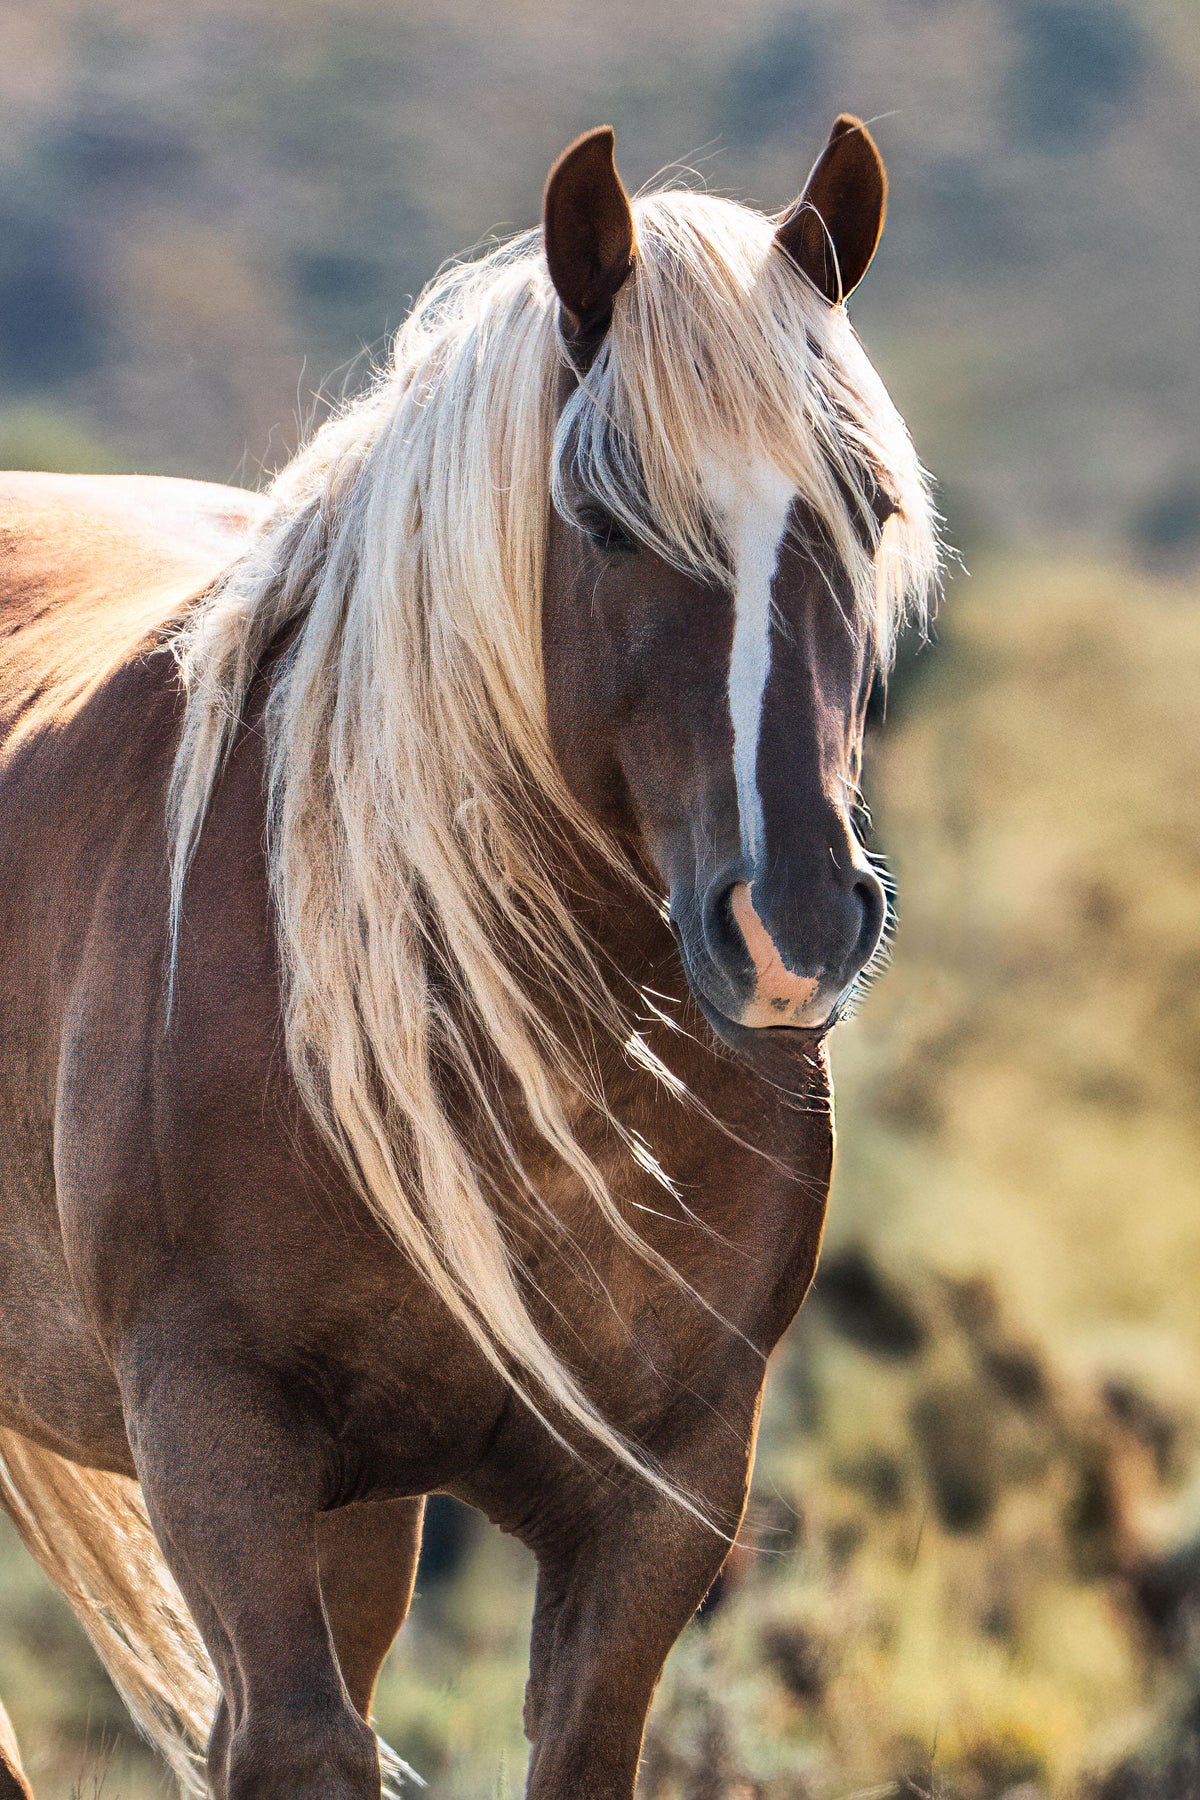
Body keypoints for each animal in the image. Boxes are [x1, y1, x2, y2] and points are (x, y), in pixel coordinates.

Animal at [0, 115, 936, 1800]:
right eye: (608, 519)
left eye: (869, 509)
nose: (794, 928)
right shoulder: (214, 1439)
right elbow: (298, 1744)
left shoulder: (663, 1490)